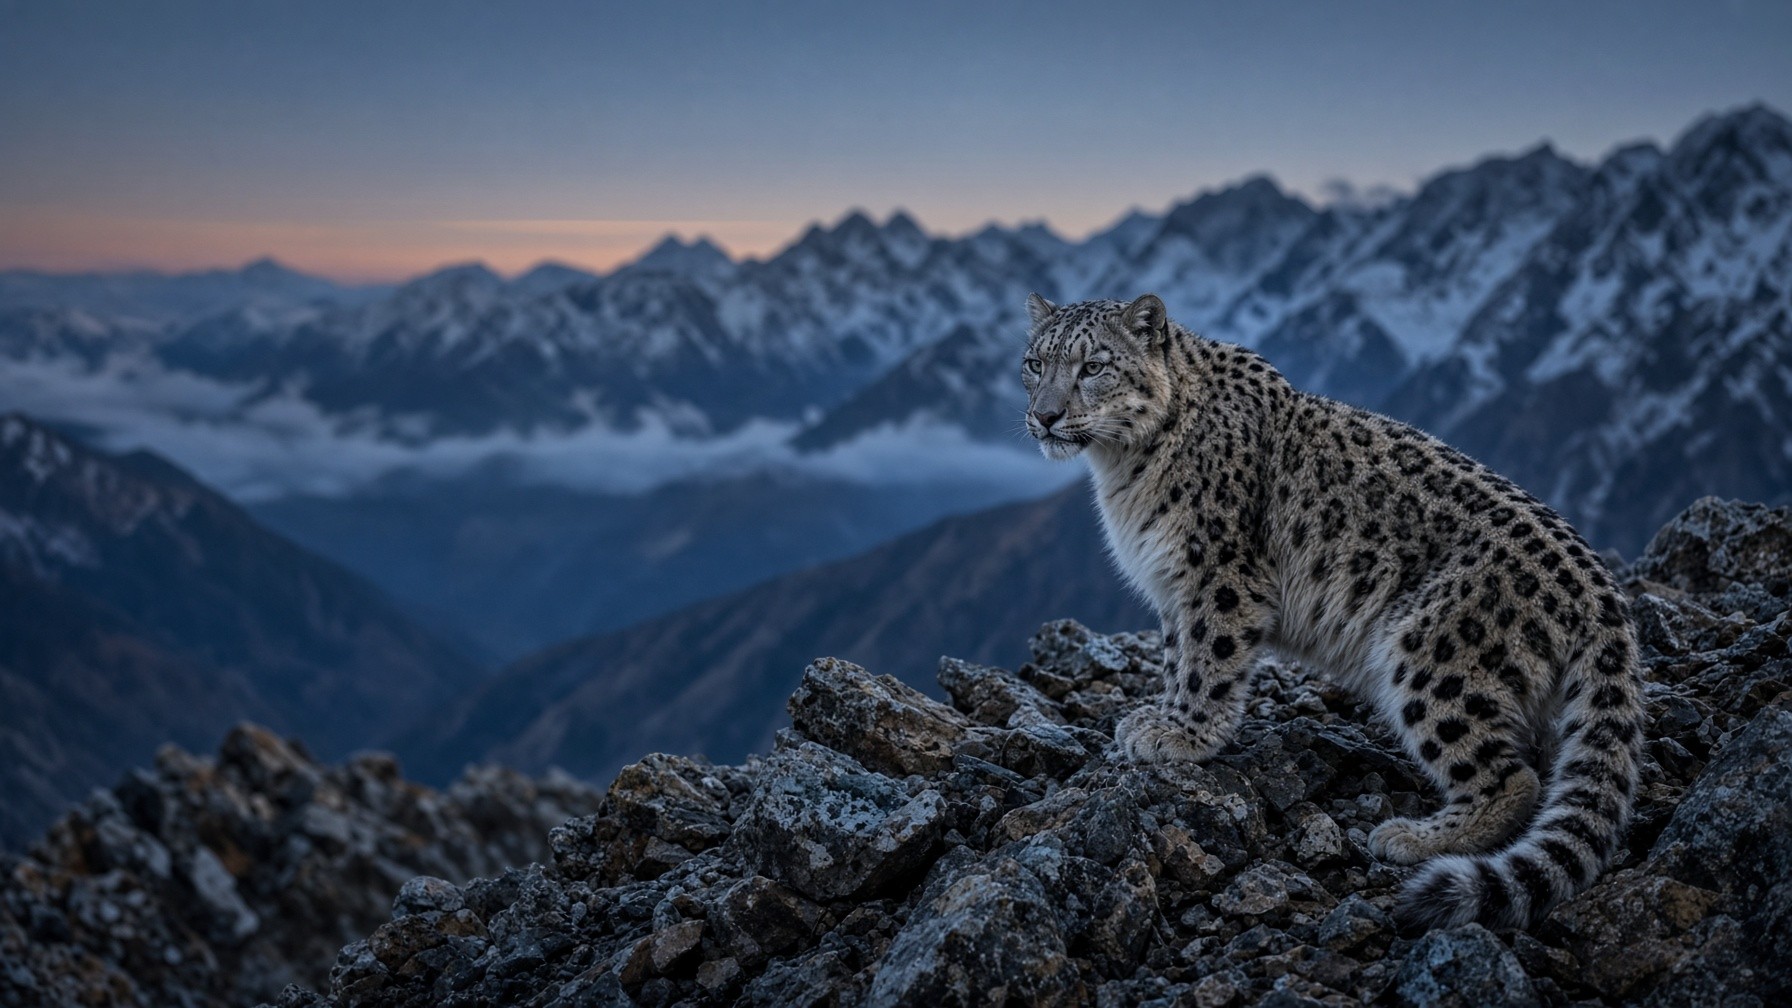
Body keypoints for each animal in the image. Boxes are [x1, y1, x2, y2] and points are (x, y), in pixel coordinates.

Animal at [1020, 292, 1644, 930]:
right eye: (1034, 363)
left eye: (1093, 366)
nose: (1044, 416)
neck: (1121, 469)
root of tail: (1601, 593)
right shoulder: (1173, 589)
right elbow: (1177, 658)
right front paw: (1158, 717)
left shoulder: (1218, 576)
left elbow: (1206, 661)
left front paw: (1184, 735)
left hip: (1429, 653)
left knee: (1511, 777)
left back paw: (1412, 838)